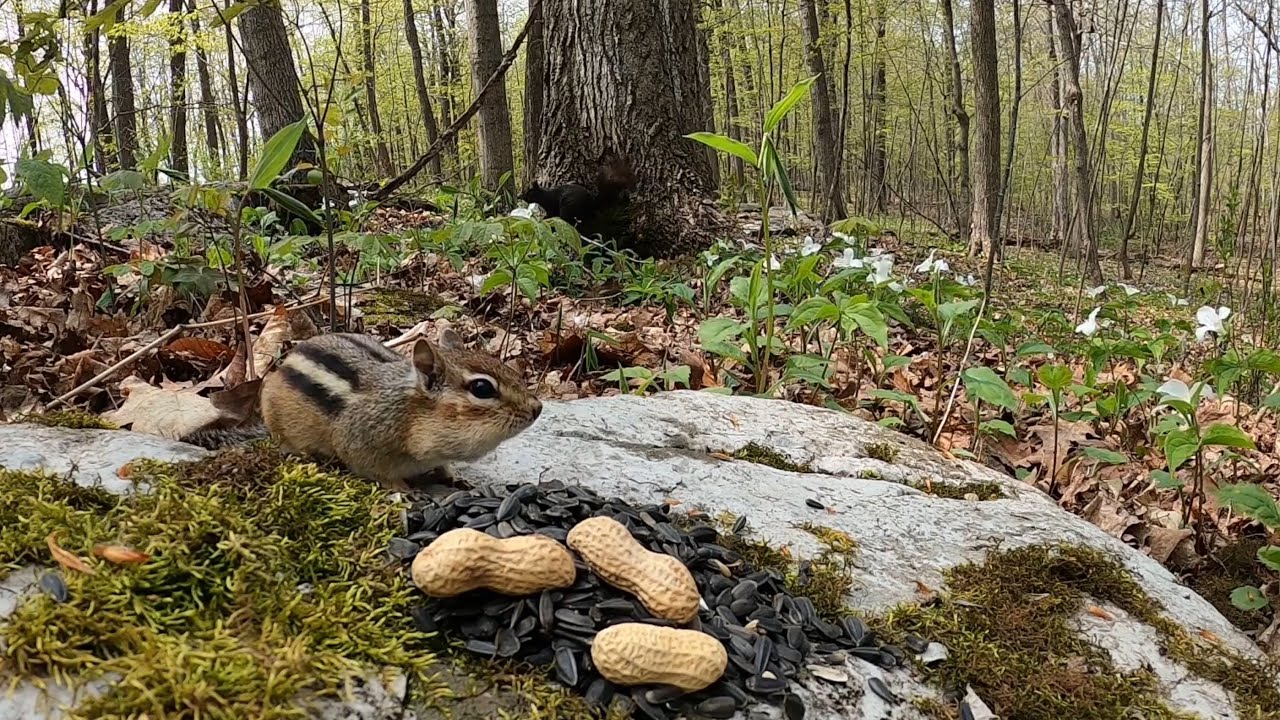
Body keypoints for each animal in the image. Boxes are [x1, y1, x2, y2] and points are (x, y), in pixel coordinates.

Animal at [184, 330, 542, 489]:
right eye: (482, 388)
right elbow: (376, 471)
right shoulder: (360, 444)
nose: (538, 408)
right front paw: (404, 490)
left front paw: (454, 476)